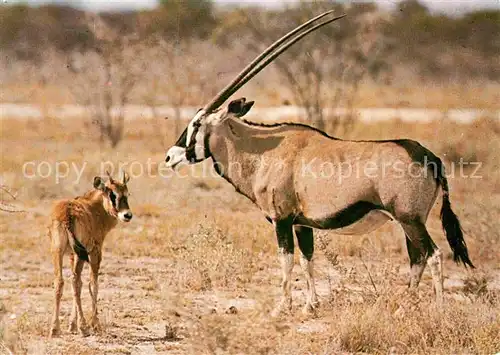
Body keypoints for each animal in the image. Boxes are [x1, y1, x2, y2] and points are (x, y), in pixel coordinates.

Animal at [47, 171, 132, 338]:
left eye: (126, 193)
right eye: (112, 194)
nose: (127, 215)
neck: (94, 207)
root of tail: (67, 214)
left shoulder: (72, 255)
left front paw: (72, 325)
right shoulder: (95, 251)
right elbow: (93, 284)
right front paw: (94, 324)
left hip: (57, 251)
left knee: (61, 281)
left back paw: (55, 329)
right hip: (82, 254)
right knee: (76, 282)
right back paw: (84, 327)